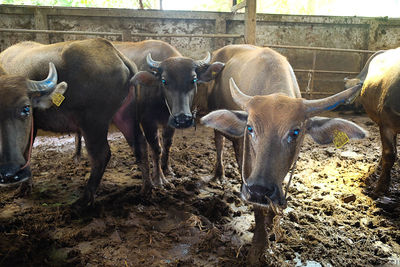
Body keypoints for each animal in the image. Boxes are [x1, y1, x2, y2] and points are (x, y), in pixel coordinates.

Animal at [0, 38, 138, 208]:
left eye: (26, 108)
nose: (9, 172)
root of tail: (116, 54)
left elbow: (26, 152)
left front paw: (25, 186)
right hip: (125, 117)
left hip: (93, 124)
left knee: (101, 155)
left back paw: (84, 199)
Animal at [111, 40, 225, 193]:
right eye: (164, 81)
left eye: (194, 80)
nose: (183, 119)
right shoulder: (148, 122)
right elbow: (156, 148)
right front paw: (159, 179)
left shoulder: (169, 122)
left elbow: (167, 144)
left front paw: (167, 170)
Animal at [202, 44, 368, 266]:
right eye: (250, 128)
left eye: (295, 132)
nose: (258, 190)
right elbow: (258, 209)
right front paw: (259, 248)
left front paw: (271, 221)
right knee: (220, 141)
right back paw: (220, 174)